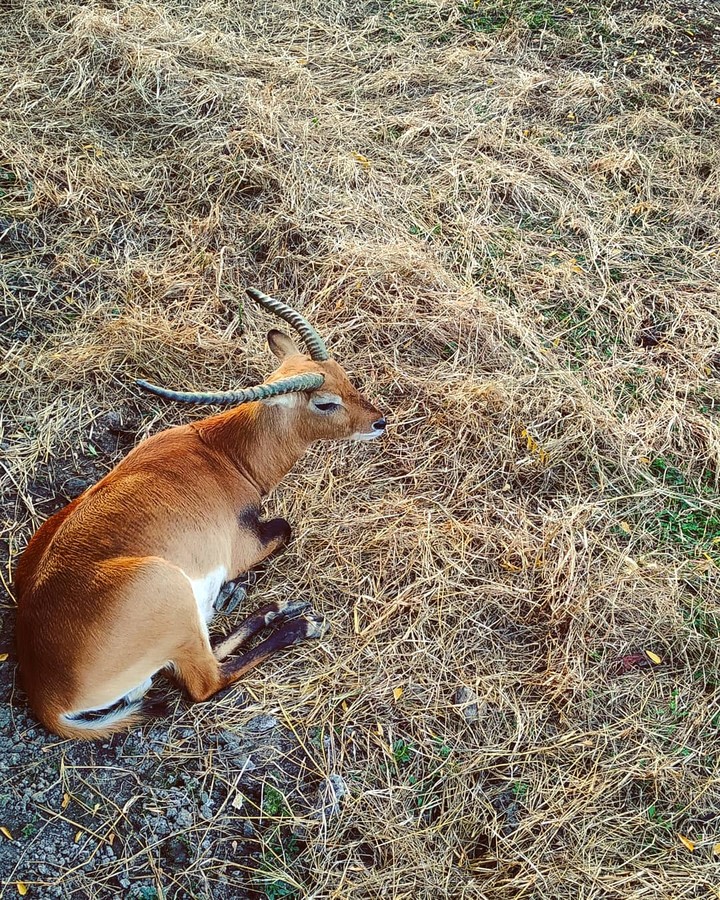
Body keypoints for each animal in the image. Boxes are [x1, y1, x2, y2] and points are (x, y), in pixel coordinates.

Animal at [14, 288, 387, 739]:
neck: (221, 453)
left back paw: (274, 608)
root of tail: (48, 696)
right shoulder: (242, 548)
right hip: (173, 600)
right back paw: (299, 623)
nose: (379, 421)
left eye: (342, 374)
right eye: (325, 402)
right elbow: (285, 527)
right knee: (206, 681)